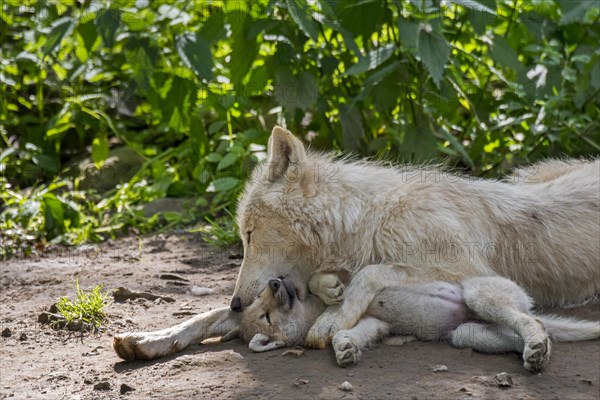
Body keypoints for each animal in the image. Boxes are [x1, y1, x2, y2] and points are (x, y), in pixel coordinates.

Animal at [113, 127, 600, 362]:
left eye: (249, 234)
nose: (237, 302)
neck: (370, 221)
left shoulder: (467, 268)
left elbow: (371, 272)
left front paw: (333, 321)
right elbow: (206, 316)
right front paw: (150, 339)